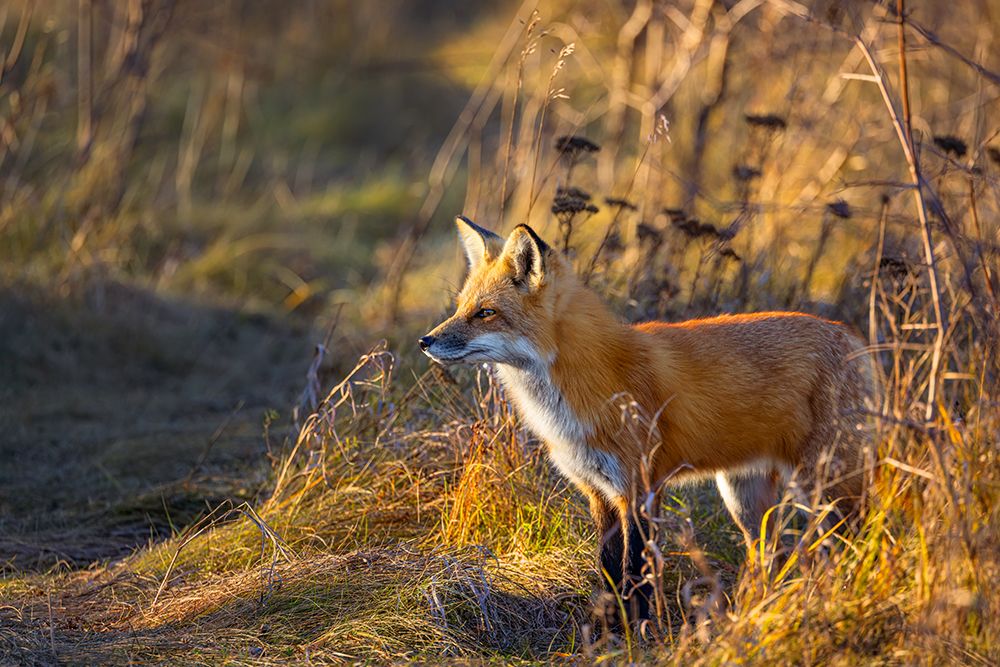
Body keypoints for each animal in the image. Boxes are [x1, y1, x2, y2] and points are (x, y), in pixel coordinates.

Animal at [422, 217, 876, 624]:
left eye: (485, 313)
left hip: (827, 487)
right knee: (771, 556)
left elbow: (634, 574)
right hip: (744, 501)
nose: (425, 341)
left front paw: (636, 633)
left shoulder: (638, 489)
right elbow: (608, 570)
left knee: (857, 540)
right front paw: (608, 632)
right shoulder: (598, 491)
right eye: (461, 307)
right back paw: (754, 613)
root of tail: (851, 336)